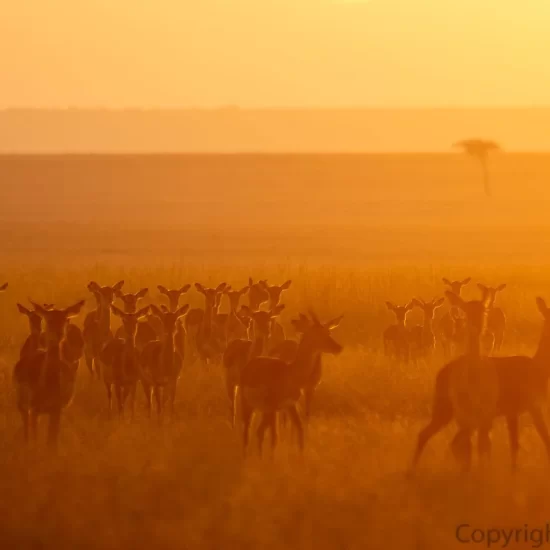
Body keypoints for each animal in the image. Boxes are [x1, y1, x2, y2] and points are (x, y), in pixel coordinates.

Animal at [12, 302, 85, 448]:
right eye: (48, 319)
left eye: (64, 319)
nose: (58, 334)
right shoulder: (34, 409)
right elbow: (36, 437)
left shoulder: (56, 410)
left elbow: (52, 442)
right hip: (24, 405)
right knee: (27, 426)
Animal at [235, 312, 342, 460]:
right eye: (317, 333)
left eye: (328, 331)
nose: (338, 348)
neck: (291, 372)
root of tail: (250, 364)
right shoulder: (274, 407)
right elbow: (274, 437)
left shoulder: (290, 405)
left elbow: (299, 428)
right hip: (250, 406)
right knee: (249, 431)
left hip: (265, 411)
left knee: (259, 431)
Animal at [412, 298, 550, 474]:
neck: (538, 368)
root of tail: (440, 374)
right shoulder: (527, 407)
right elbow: (530, 441)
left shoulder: (518, 410)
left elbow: (522, 442)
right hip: (452, 410)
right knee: (452, 440)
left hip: (446, 409)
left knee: (429, 435)